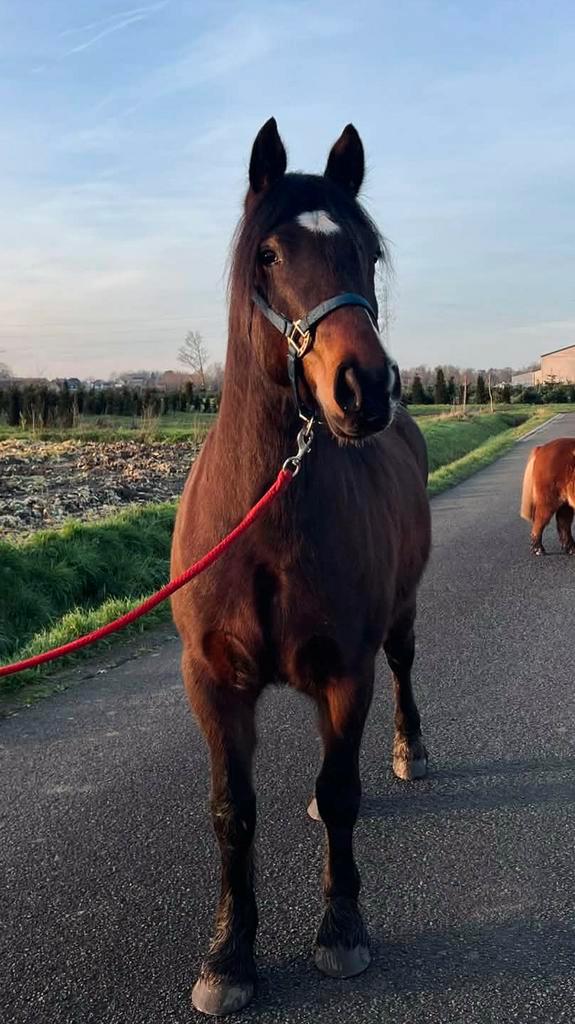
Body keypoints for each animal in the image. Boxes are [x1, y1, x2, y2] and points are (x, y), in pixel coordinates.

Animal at [171, 117, 431, 1016]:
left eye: (365, 252)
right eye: (269, 254)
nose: (365, 388)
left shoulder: (348, 667)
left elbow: (347, 789)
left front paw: (341, 931)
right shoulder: (212, 682)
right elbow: (230, 811)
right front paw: (228, 957)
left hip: (397, 621)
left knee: (402, 672)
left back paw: (411, 749)